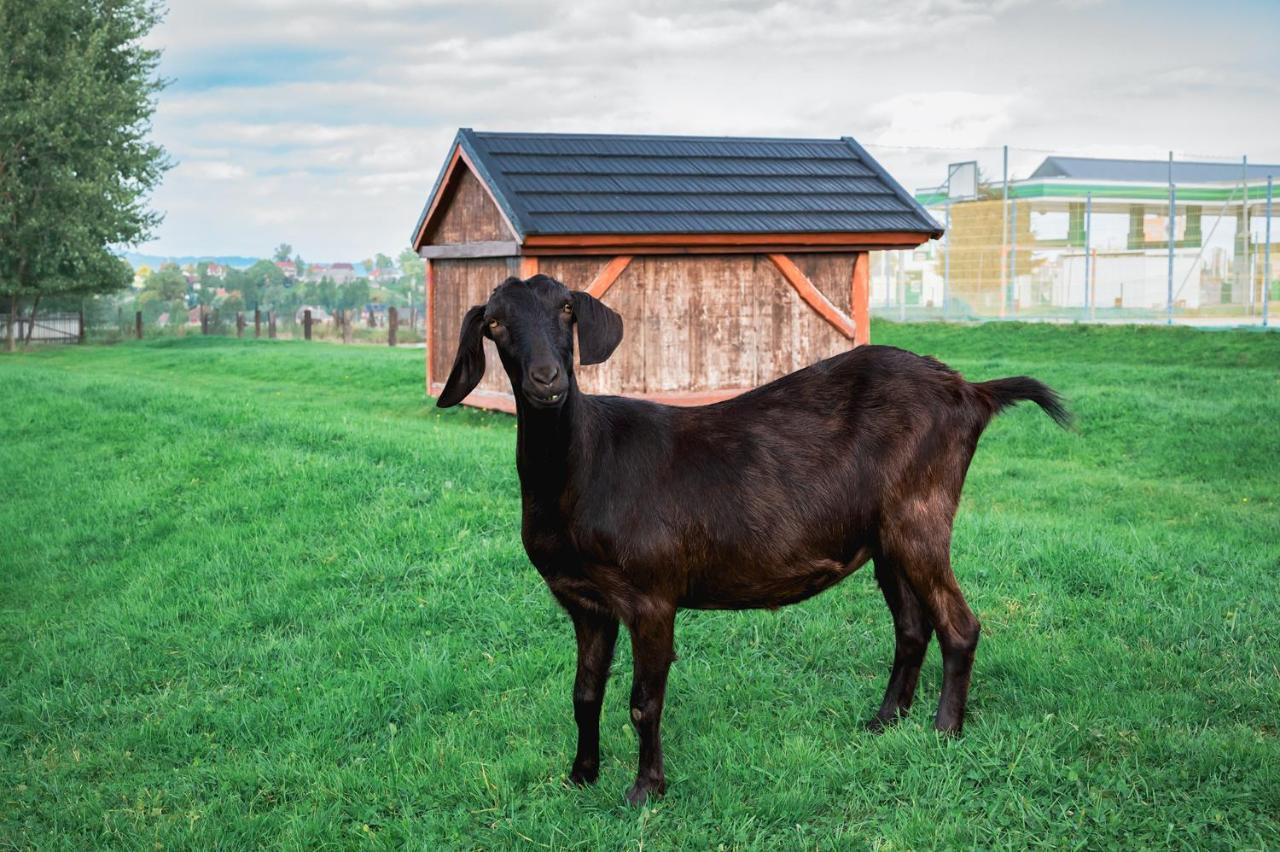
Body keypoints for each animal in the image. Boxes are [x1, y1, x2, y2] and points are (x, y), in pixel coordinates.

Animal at [435, 273, 1064, 803]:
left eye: (566, 309)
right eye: (495, 322)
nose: (548, 380)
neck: (586, 466)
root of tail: (971, 392)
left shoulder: (652, 596)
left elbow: (644, 702)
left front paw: (644, 791)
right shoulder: (586, 602)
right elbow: (584, 694)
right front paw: (580, 776)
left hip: (921, 515)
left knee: (959, 625)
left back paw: (944, 730)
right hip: (886, 537)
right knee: (912, 627)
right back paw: (885, 720)